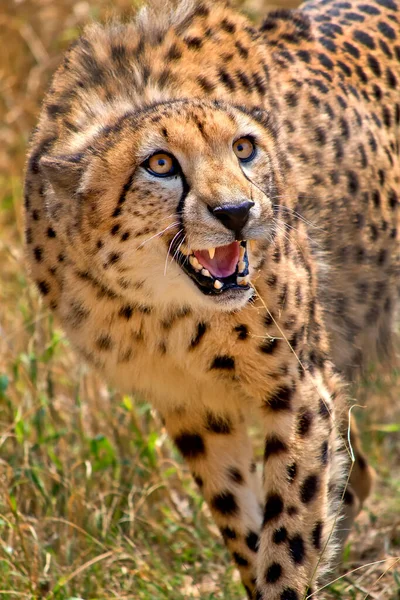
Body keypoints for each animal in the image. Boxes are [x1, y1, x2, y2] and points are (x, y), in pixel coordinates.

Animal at [23, 1, 398, 596]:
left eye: (244, 149)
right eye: (159, 164)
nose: (237, 212)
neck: (165, 313)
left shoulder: (299, 392)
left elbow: (288, 532)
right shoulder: (192, 407)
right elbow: (242, 524)